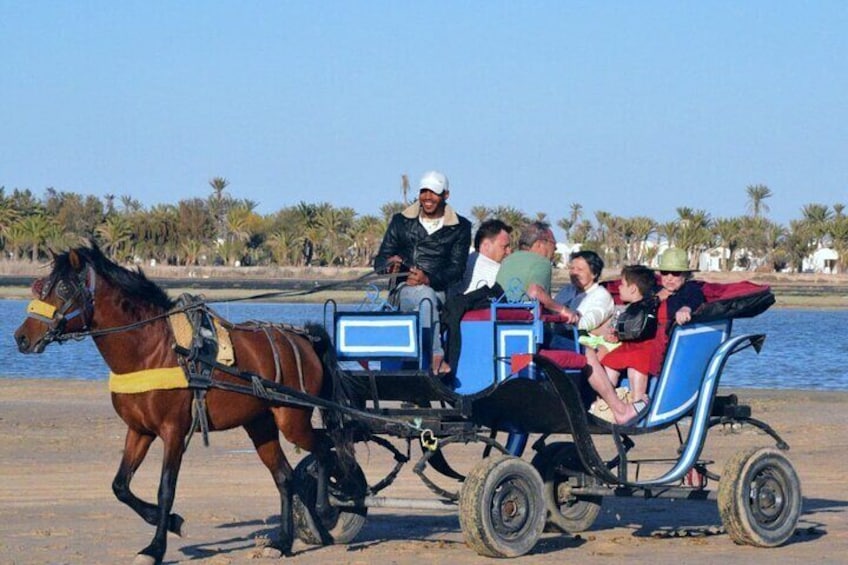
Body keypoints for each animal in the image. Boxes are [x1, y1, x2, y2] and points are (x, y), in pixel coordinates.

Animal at [16, 243, 354, 564]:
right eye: (40, 285)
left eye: (63, 288)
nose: (21, 337)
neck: (153, 350)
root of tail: (303, 338)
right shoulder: (139, 430)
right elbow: (120, 486)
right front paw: (170, 522)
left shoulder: (173, 431)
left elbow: (166, 489)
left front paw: (155, 548)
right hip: (259, 424)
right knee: (285, 477)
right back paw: (282, 542)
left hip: (291, 418)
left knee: (324, 447)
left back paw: (328, 507)